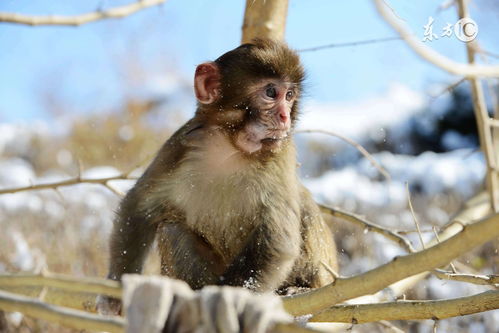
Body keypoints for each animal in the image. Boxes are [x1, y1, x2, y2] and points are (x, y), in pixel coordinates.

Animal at [97, 39, 338, 314]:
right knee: (171, 228)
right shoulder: (182, 142)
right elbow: (139, 207)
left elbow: (276, 242)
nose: (285, 116)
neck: (230, 147)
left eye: (289, 96)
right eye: (271, 92)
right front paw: (115, 292)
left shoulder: (282, 153)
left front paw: (231, 301)